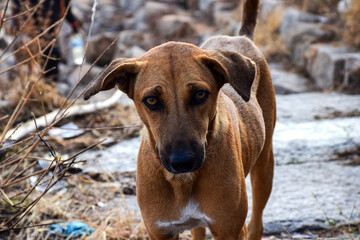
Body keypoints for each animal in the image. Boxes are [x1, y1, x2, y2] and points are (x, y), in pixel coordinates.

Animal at [84, 0, 276, 239]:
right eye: (151, 100)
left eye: (200, 94)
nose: (182, 161)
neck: (183, 182)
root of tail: (241, 37)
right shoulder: (160, 231)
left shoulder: (230, 230)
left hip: (265, 166)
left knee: (257, 222)